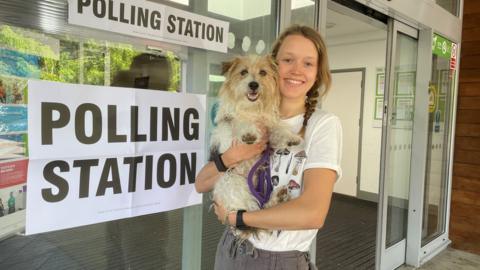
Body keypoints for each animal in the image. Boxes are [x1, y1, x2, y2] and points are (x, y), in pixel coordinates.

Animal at [210, 55, 300, 238]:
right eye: (243, 72)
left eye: (263, 73)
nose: (253, 84)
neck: (251, 109)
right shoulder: (228, 127)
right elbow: (239, 123)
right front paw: (249, 133)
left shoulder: (268, 126)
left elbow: (277, 128)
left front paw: (291, 137)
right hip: (231, 180)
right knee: (251, 212)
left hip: (264, 183)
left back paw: (278, 197)